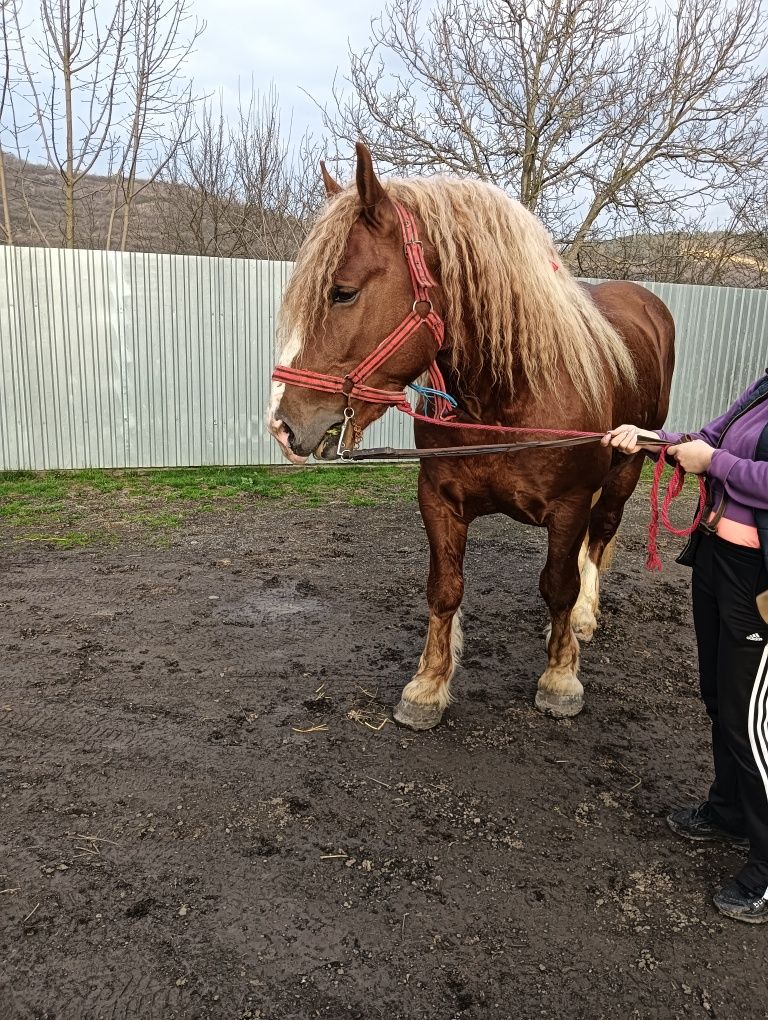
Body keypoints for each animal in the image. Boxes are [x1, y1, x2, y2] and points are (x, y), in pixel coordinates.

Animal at [267, 145, 673, 734]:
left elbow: (558, 585)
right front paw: (428, 685)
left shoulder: (571, 505)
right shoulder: (438, 499)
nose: (282, 424)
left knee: (601, 536)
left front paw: (560, 676)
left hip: (628, 467)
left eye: (342, 293)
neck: (506, 398)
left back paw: (584, 617)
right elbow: (445, 589)